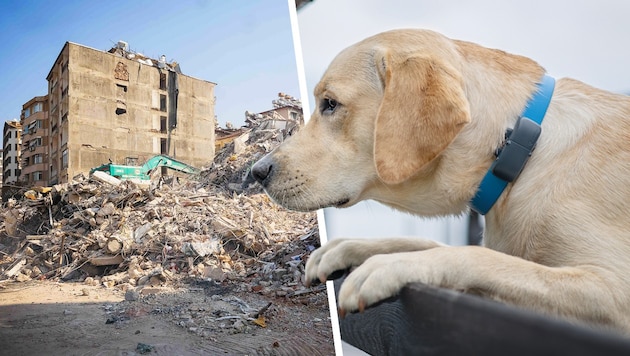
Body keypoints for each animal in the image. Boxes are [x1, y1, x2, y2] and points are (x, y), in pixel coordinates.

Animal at [249, 29, 630, 332]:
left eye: (330, 104)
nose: (258, 172)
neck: (518, 147)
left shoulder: (615, 291)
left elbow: (475, 256)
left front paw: (388, 266)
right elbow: (428, 243)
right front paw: (351, 247)